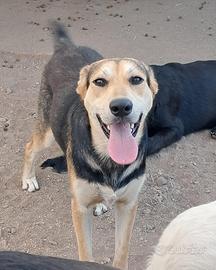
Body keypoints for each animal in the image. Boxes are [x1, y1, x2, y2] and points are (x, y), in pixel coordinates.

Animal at [21, 23, 157, 270]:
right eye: (100, 82)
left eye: (136, 79)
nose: (121, 106)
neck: (110, 161)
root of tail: (67, 46)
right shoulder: (79, 208)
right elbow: (85, 253)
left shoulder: (128, 205)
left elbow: (122, 252)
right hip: (47, 129)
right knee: (30, 147)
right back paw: (28, 179)